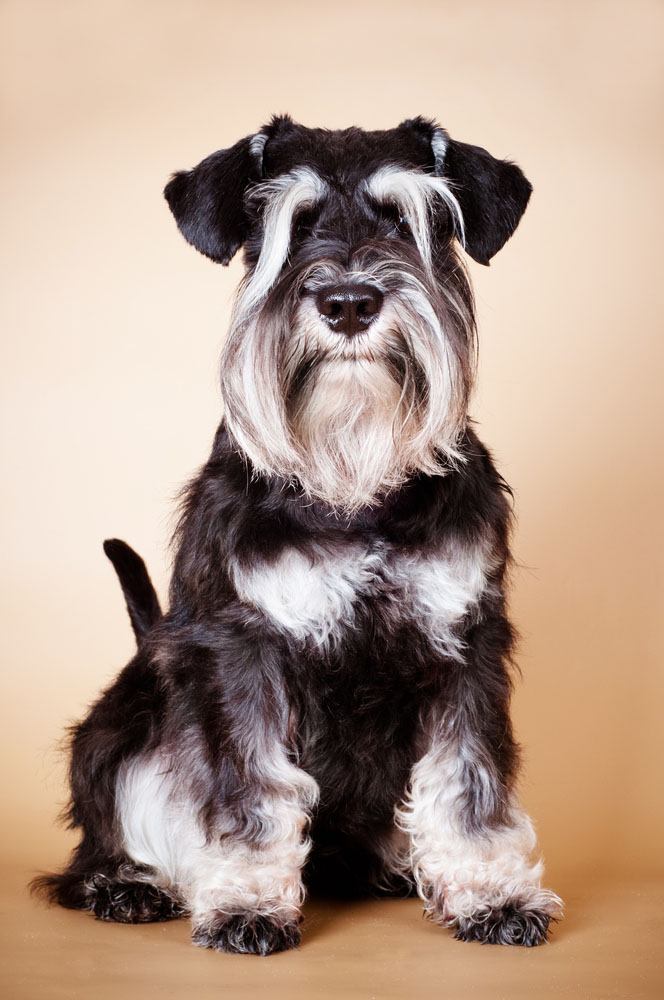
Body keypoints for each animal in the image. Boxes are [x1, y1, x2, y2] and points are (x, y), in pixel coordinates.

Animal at [35, 115, 560, 952]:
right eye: (293, 225)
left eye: (409, 222)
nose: (350, 303)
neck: (353, 483)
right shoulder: (244, 650)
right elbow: (250, 791)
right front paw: (247, 902)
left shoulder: (464, 643)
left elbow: (467, 783)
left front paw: (492, 894)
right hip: (121, 731)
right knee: (101, 839)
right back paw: (130, 884)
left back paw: (392, 866)